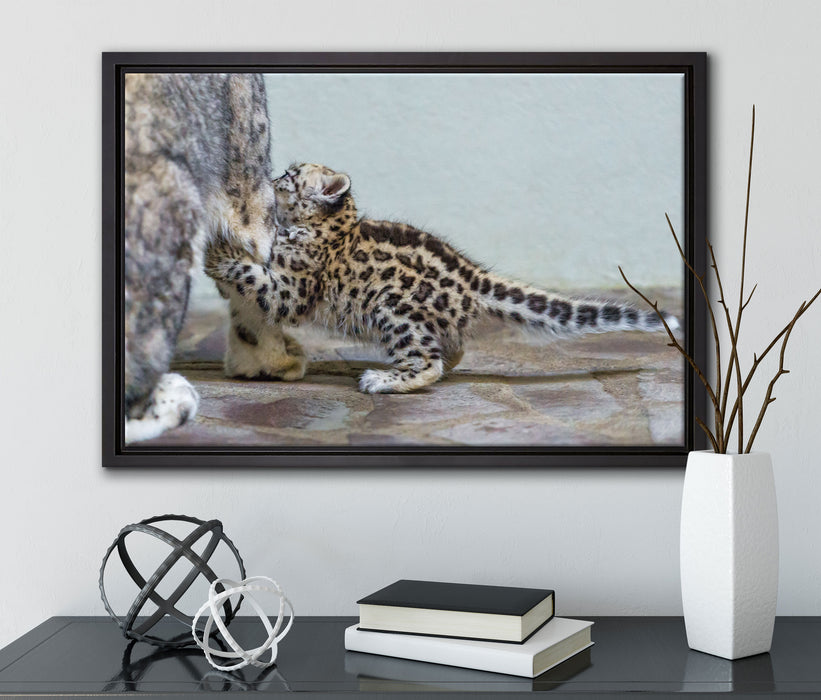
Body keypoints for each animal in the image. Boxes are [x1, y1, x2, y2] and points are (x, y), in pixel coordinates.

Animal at [204, 162, 678, 394]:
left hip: (393, 309)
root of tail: (474, 278)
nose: (270, 178)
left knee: (429, 361)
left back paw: (382, 380)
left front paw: (217, 251)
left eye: (290, 175)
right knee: (451, 350)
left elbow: (255, 276)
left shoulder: (291, 288)